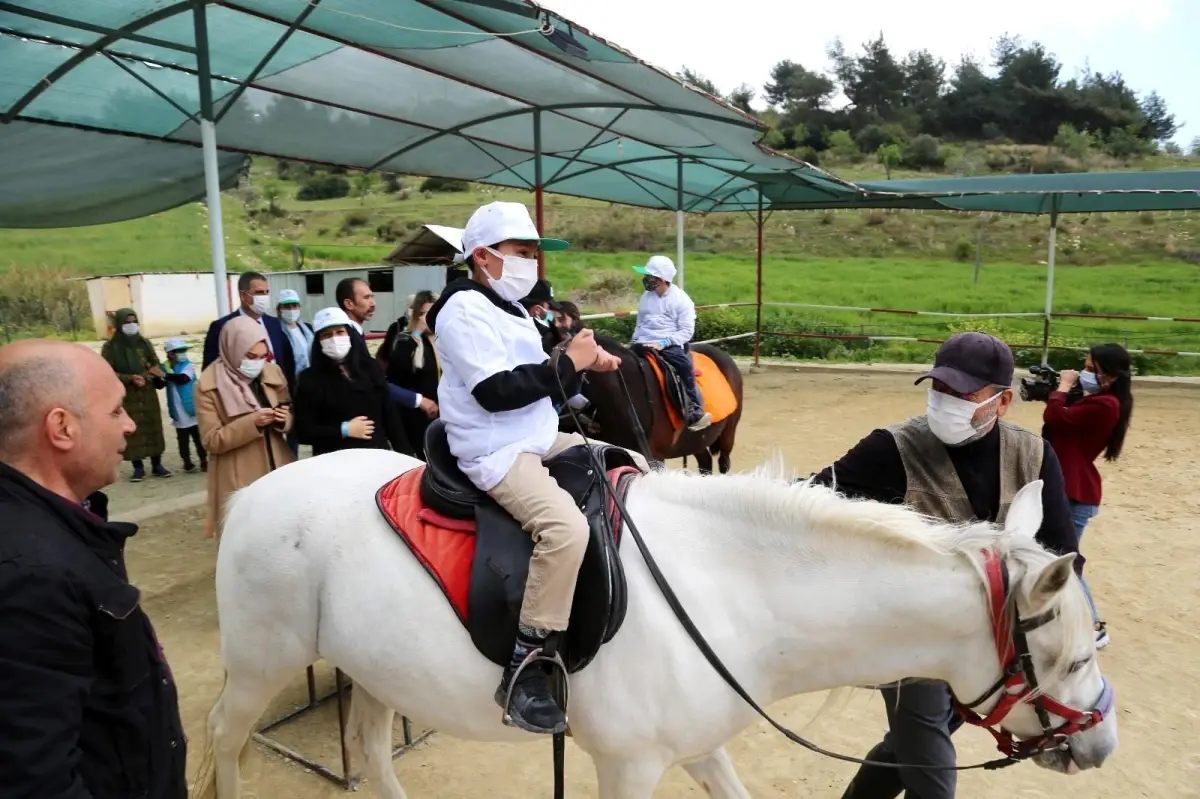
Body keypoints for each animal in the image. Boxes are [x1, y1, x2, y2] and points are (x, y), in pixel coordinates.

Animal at [192, 448, 1118, 796]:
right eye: (1073, 660)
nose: (1103, 744)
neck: (731, 589)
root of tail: (255, 490)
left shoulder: (699, 745)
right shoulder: (629, 764)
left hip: (376, 664)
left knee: (372, 745)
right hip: (261, 663)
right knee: (226, 736)